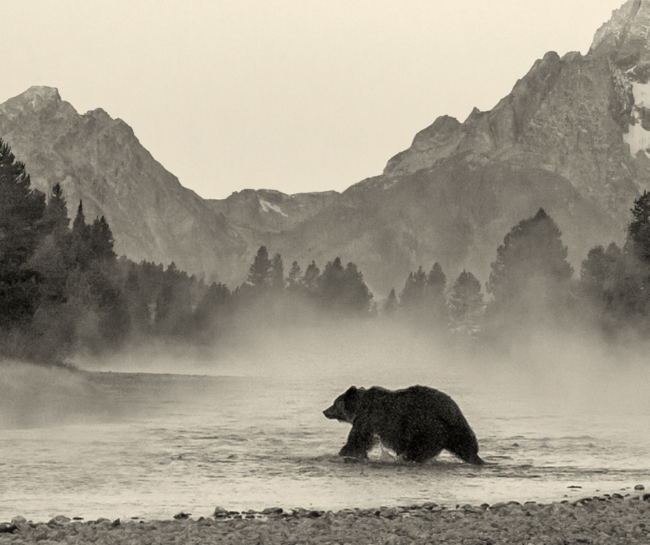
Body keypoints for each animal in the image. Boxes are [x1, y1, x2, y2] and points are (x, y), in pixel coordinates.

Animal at [323, 385, 484, 465]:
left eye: (334, 402)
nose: (325, 411)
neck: (360, 407)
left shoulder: (369, 419)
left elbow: (357, 439)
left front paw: (345, 453)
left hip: (427, 429)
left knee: (417, 450)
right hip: (458, 430)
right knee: (466, 446)